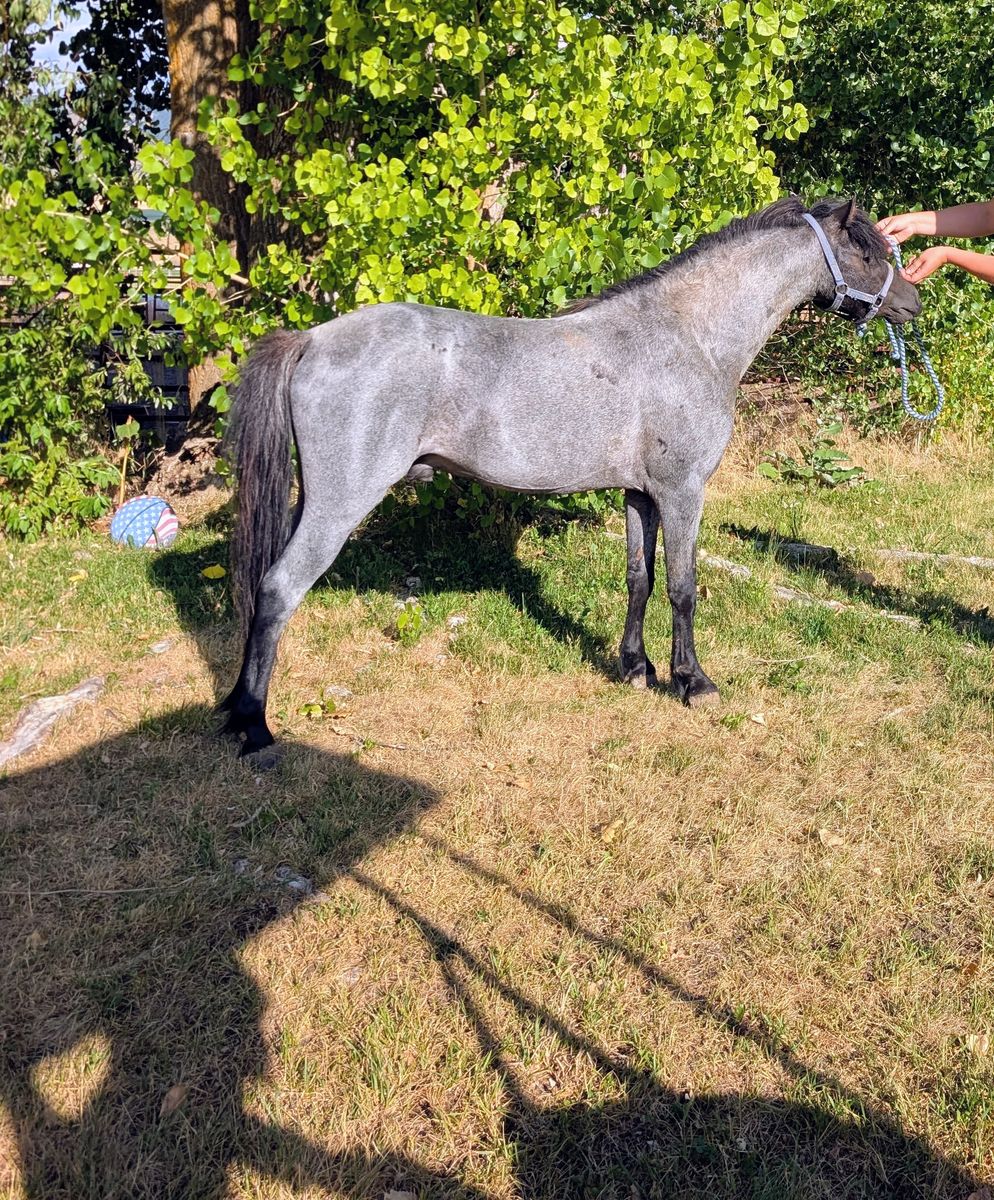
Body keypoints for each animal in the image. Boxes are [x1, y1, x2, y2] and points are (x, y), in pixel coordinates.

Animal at [219, 196, 920, 757]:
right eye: (867, 251)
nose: (913, 301)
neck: (686, 338)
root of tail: (312, 338)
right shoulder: (682, 492)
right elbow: (683, 588)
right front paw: (692, 681)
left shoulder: (640, 494)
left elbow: (640, 580)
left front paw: (635, 669)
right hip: (338, 505)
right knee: (278, 589)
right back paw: (254, 726)